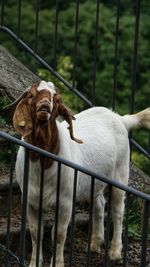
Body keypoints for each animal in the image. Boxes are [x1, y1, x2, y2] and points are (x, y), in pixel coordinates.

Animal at [9, 80, 149, 266]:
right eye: (31, 95)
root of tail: (120, 119)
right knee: (99, 203)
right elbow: (35, 232)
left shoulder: (65, 202)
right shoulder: (31, 201)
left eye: (57, 99)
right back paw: (96, 243)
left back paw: (115, 252)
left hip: (121, 173)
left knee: (118, 210)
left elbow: (58, 234)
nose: (45, 105)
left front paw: (58, 263)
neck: (43, 165)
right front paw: (34, 263)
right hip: (94, 182)